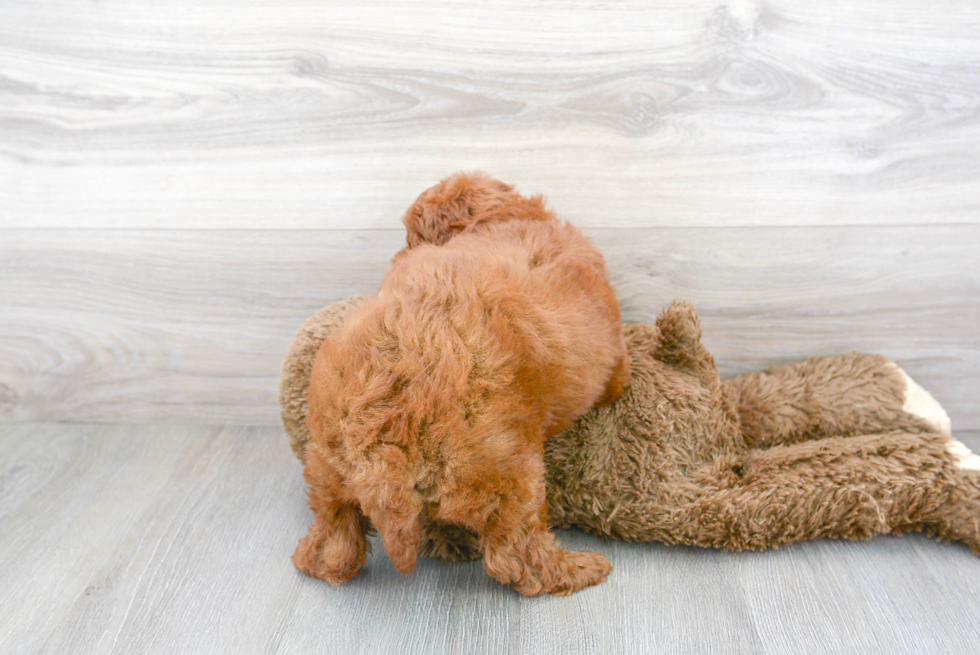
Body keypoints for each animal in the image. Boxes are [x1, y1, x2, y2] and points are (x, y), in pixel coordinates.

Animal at [290, 172, 632, 596]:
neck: (500, 219)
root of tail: (384, 437)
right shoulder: (614, 355)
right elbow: (617, 378)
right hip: (507, 470)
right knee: (516, 556)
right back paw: (579, 569)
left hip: (326, 463)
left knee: (335, 537)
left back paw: (320, 559)